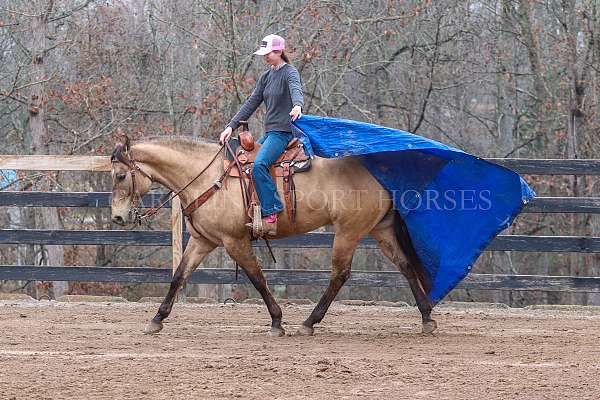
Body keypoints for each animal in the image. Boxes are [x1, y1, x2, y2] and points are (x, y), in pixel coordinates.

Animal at [110, 136, 436, 336]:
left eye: (121, 175)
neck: (208, 178)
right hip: (379, 230)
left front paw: (277, 322)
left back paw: (309, 323)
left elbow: (258, 279)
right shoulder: (204, 242)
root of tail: (378, 171)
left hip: (348, 231)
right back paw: (427, 317)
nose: (118, 217)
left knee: (340, 275)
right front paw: (156, 320)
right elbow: (179, 276)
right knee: (406, 266)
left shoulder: (235, 242)